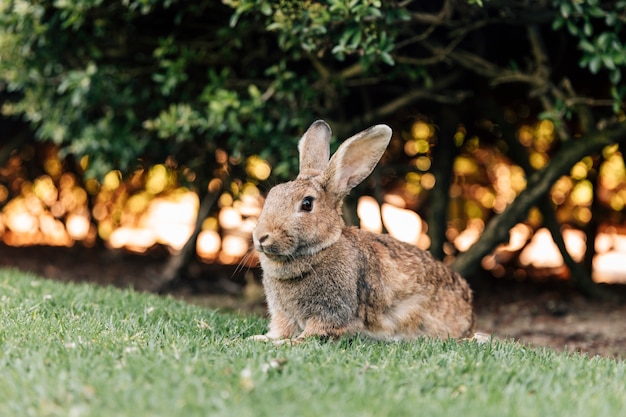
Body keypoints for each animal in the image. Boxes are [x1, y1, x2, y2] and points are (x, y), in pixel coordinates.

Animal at [249, 119, 472, 342]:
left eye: (307, 204)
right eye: (272, 194)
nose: (261, 237)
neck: (321, 249)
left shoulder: (333, 313)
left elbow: (310, 335)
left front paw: (284, 344)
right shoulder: (284, 316)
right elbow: (280, 331)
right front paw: (259, 339)